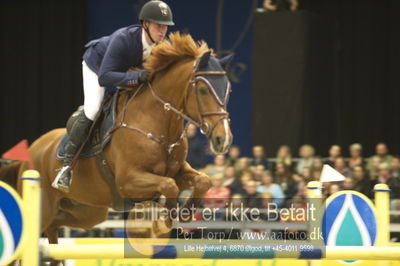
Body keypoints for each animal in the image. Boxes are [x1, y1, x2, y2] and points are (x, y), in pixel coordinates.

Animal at [0, 33, 233, 247]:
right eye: (203, 89)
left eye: (228, 89)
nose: (223, 139)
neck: (157, 123)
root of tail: (33, 149)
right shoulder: (128, 180)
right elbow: (169, 186)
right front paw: (166, 217)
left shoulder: (176, 171)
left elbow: (203, 180)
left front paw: (184, 213)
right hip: (45, 208)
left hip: (86, 211)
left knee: (54, 228)